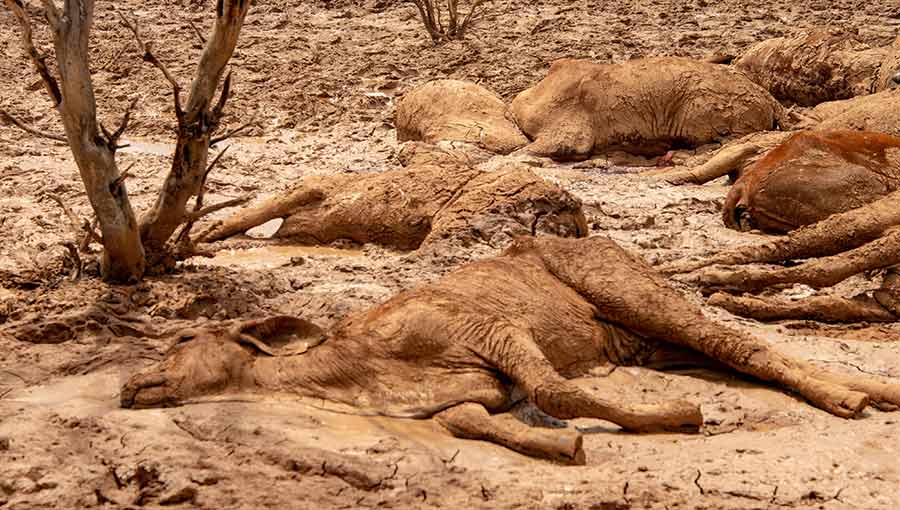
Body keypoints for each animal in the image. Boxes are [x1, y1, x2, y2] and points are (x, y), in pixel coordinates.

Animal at [119, 237, 900, 464]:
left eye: (181, 338)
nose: (129, 384)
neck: (350, 375)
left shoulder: (489, 329)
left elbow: (556, 390)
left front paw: (677, 418)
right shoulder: (473, 390)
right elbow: (472, 419)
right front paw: (560, 446)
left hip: (630, 291)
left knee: (738, 342)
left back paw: (850, 396)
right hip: (645, 341)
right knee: (732, 353)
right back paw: (871, 390)